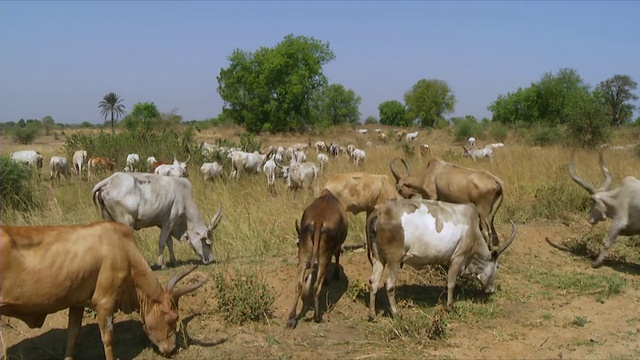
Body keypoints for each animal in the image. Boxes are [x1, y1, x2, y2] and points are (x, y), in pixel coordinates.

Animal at [0, 222, 205, 360]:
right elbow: (107, 337)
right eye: (172, 318)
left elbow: (73, 333)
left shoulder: (77, 302)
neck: (125, 252)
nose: (171, 349)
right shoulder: (104, 302)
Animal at [364, 200, 516, 318]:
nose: (491, 290)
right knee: (389, 284)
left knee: (374, 281)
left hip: (378, 258)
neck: (472, 231)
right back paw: (396, 313)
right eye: (496, 266)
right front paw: (450, 307)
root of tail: (380, 211)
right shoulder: (458, 258)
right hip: (394, 260)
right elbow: (451, 284)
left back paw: (372, 314)